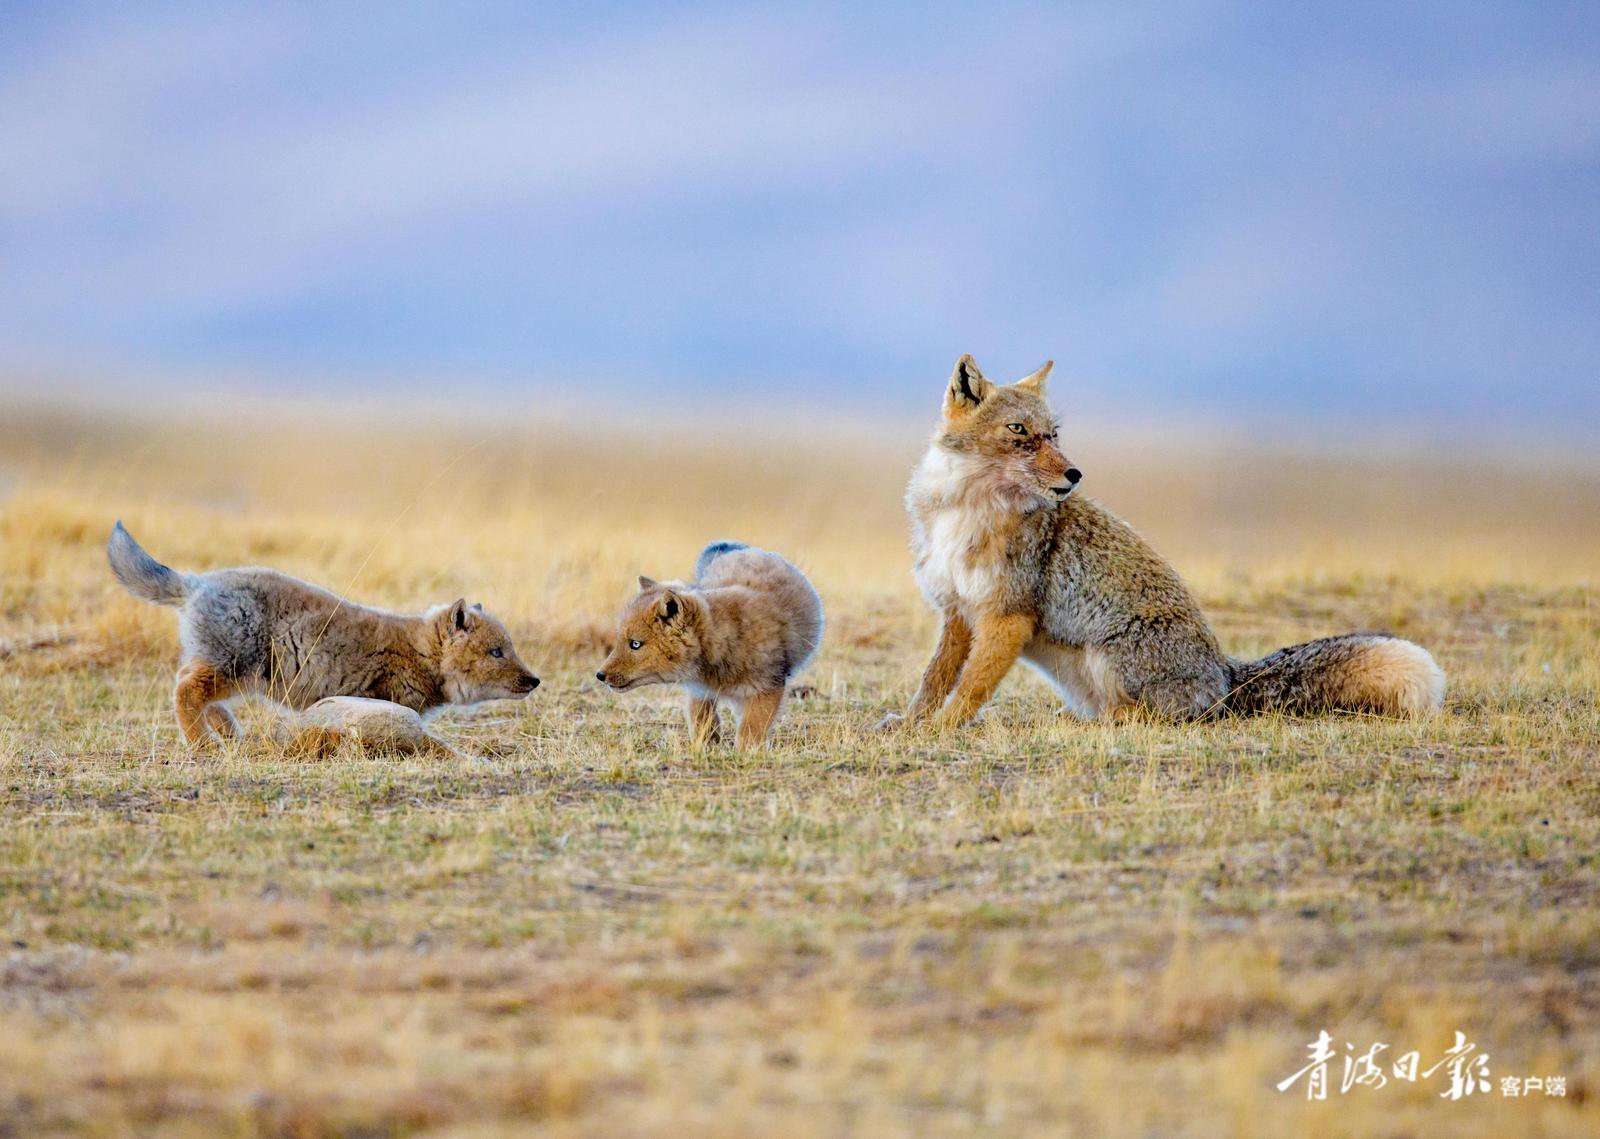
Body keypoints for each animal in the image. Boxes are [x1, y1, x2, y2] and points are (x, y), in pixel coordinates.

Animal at [109, 521, 544, 748]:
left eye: (509, 649)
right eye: (497, 652)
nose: (535, 680)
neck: (417, 652)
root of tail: (196, 581)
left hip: (231, 671)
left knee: (196, 689)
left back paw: (228, 732)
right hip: (233, 668)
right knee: (185, 690)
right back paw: (202, 742)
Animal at [598, 540, 825, 748]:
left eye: (635, 644)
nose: (599, 675)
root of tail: (743, 549)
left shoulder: (767, 689)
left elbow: (750, 731)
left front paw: (744, 753)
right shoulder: (700, 690)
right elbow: (702, 721)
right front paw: (706, 748)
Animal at [889, 355, 1452, 729]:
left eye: (1054, 434)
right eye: (1019, 431)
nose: (1074, 474)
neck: (965, 510)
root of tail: (1224, 675)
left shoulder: (1007, 616)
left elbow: (970, 688)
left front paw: (942, 730)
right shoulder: (959, 611)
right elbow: (935, 681)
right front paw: (911, 725)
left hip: (1107, 656)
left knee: (1151, 715)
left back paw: (1103, 721)